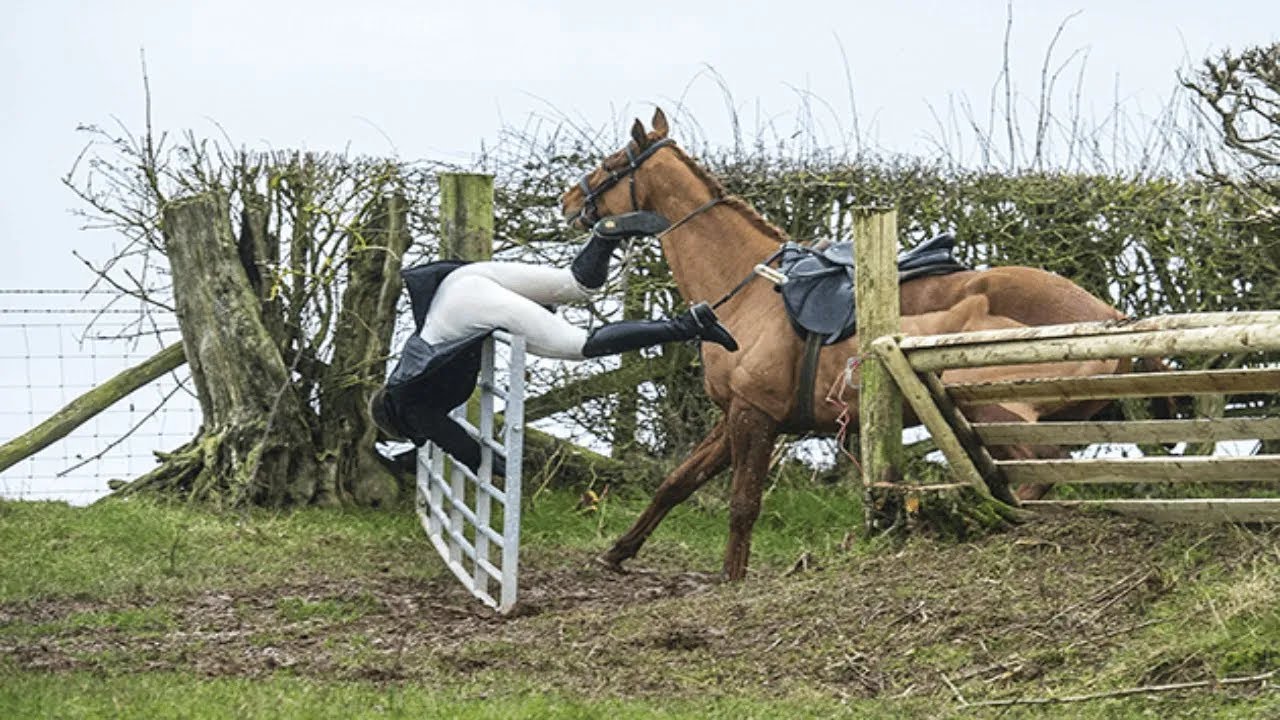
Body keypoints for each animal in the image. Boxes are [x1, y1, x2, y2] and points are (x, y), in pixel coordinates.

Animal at [560, 108, 1131, 581]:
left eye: (611, 164)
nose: (567, 200)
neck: (750, 289)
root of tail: (1112, 318)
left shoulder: (754, 416)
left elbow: (743, 504)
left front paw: (732, 577)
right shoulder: (736, 416)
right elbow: (677, 482)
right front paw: (618, 552)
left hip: (996, 413)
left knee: (1041, 469)